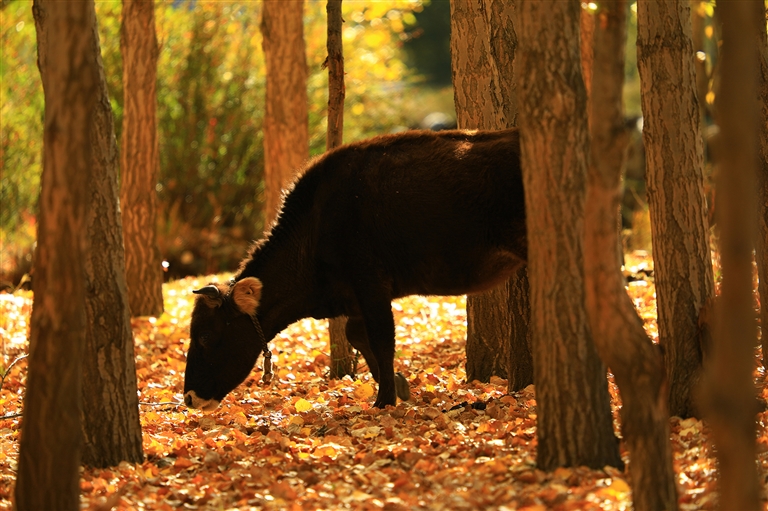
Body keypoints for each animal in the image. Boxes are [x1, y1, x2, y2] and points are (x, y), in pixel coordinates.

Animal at [183, 128, 526, 410]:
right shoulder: (354, 297)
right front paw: (397, 384)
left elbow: (381, 338)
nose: (188, 398)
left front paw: (385, 400)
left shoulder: (370, 281)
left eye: (204, 336)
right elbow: (357, 335)